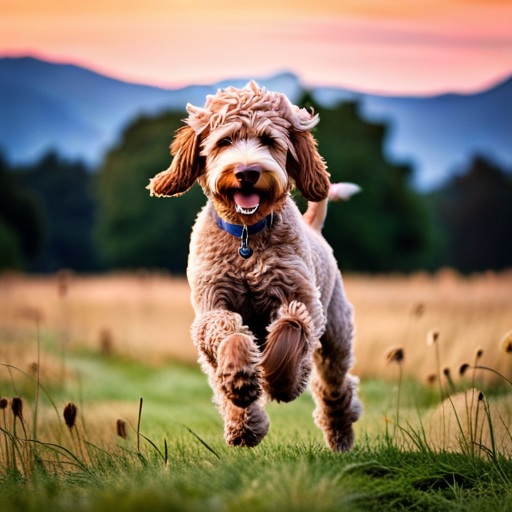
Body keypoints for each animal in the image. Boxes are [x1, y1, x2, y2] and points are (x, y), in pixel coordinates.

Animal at [148, 81, 362, 452]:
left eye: (269, 140)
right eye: (224, 141)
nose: (247, 172)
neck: (247, 239)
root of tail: (315, 229)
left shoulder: (302, 299)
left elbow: (292, 329)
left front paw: (280, 380)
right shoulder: (211, 305)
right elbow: (228, 335)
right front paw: (241, 378)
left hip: (336, 332)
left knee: (335, 386)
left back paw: (339, 435)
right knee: (227, 390)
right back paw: (243, 425)